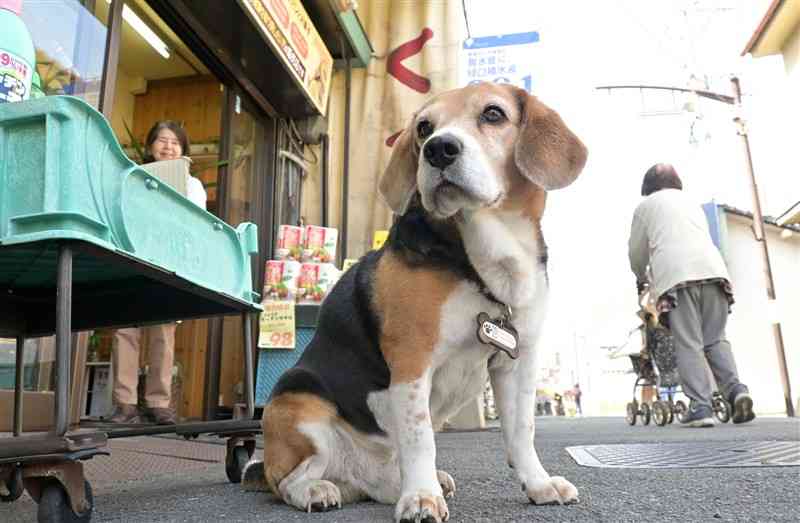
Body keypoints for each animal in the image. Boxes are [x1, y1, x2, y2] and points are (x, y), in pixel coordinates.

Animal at [244, 83, 588, 523]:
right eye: (424, 128)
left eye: (493, 114)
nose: (439, 149)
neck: (486, 261)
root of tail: (364, 475)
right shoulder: (412, 359)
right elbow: (421, 435)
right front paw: (422, 497)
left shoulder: (517, 362)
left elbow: (521, 432)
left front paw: (539, 484)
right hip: (299, 403)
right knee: (284, 480)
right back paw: (318, 490)